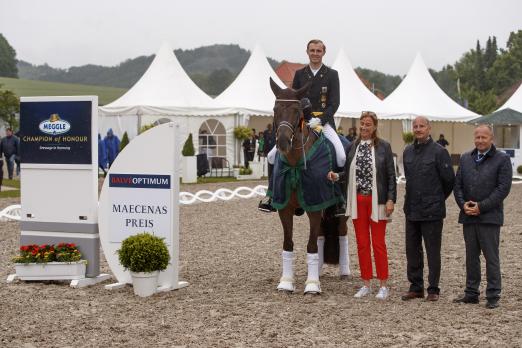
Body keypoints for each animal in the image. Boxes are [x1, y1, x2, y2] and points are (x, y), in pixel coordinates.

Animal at [268, 78, 350, 294]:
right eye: (275, 109)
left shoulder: (315, 206)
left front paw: (312, 285)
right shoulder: (285, 208)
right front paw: (286, 282)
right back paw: (319, 270)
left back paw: (344, 271)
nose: (282, 143)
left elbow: (311, 246)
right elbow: (288, 244)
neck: (295, 163)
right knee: (321, 234)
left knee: (342, 232)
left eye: (297, 111)